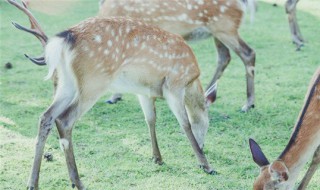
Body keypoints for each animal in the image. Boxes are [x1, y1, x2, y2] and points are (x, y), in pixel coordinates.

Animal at [6, 0, 218, 189]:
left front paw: (157, 157)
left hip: (66, 83)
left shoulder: (144, 91)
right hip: (94, 81)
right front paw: (206, 165)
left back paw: (32, 183)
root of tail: (65, 39)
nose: (203, 145)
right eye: (208, 122)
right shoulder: (173, 85)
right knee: (64, 120)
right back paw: (78, 182)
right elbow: (185, 124)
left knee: (46, 117)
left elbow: (150, 119)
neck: (191, 80)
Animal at [99, 0, 256, 111]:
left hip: (225, 27)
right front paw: (116, 96)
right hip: (218, 31)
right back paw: (207, 94)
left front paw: (114, 96)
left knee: (248, 53)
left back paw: (248, 104)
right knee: (224, 57)